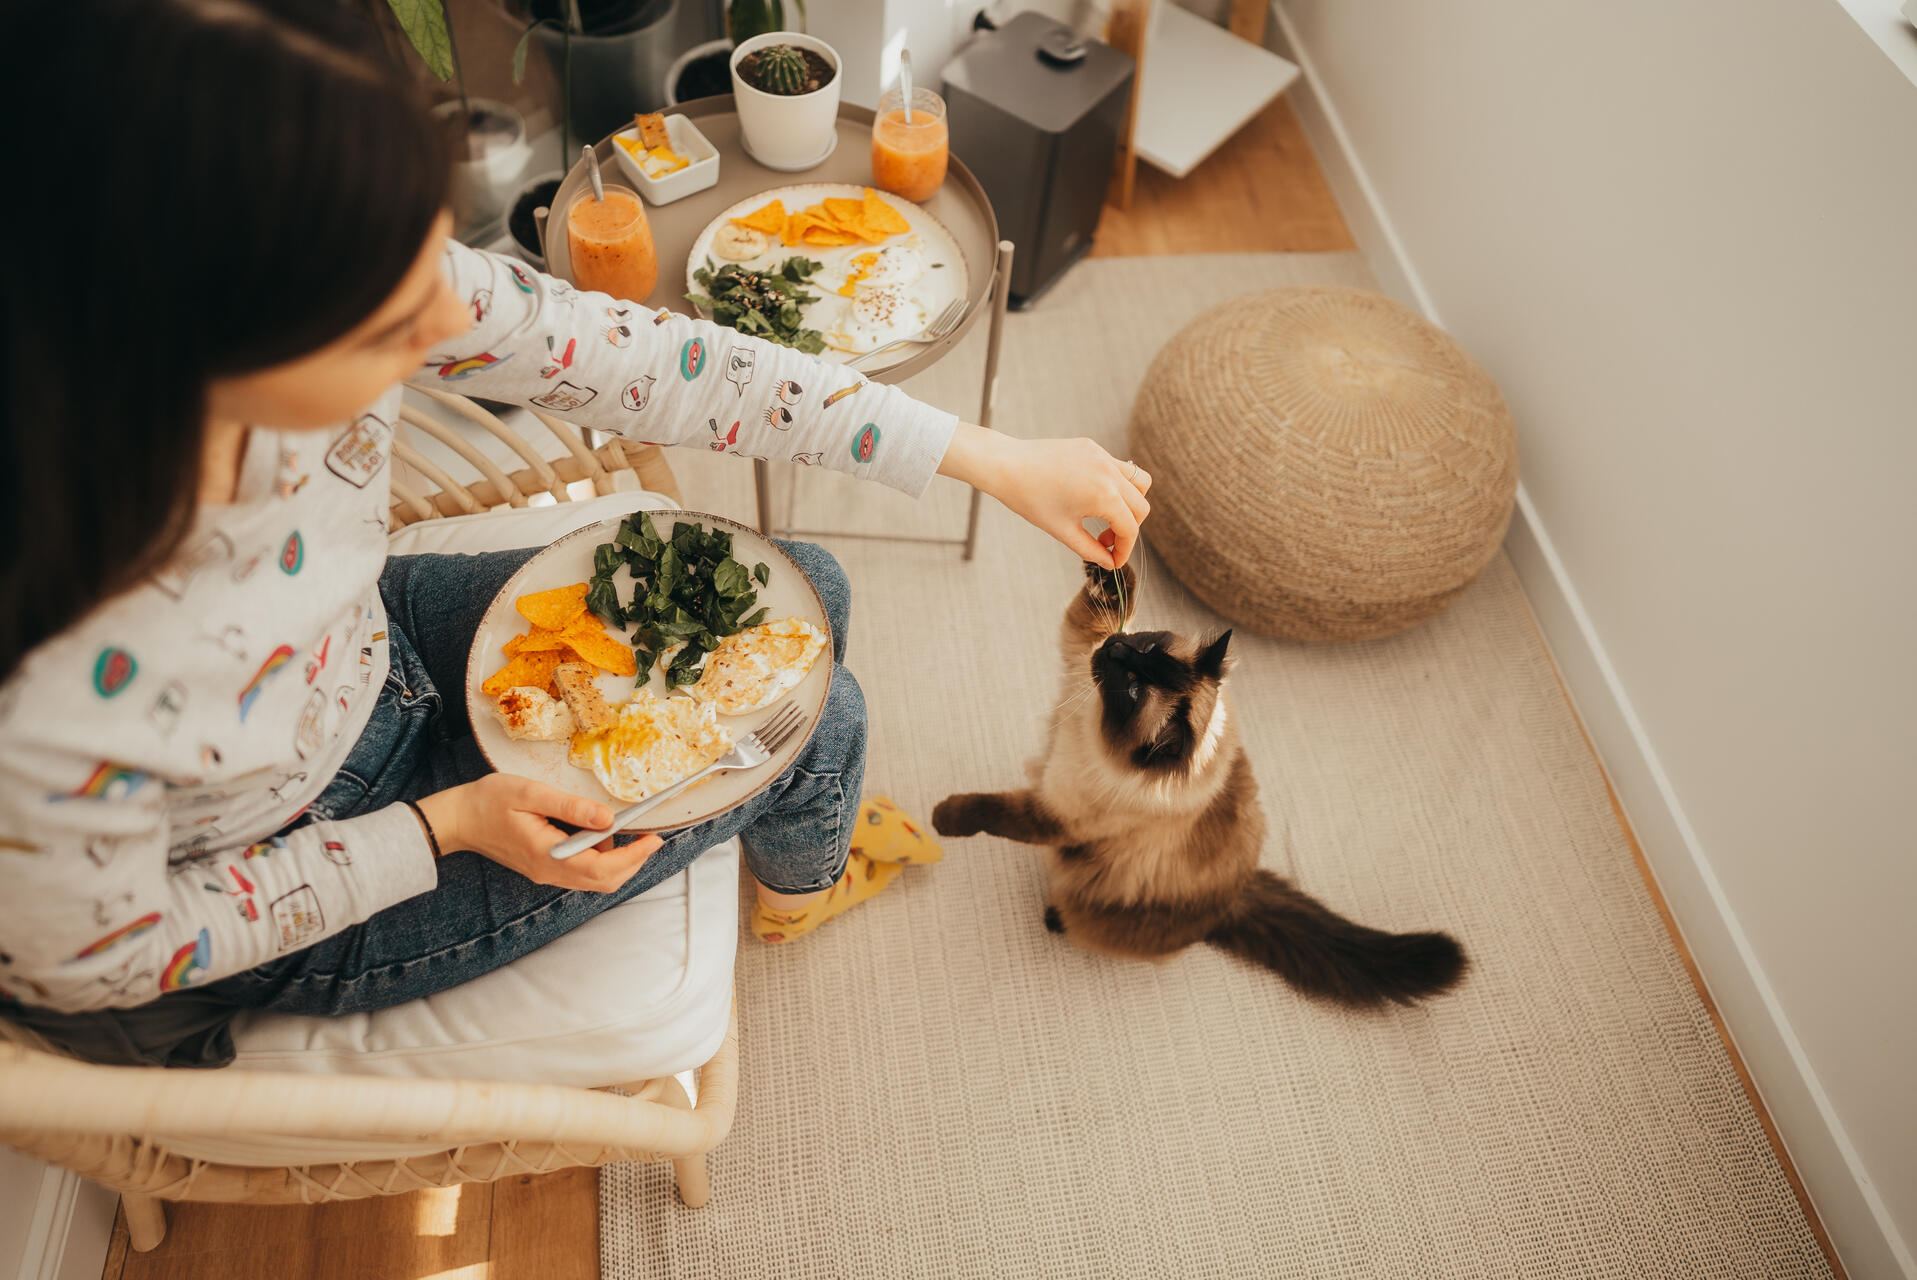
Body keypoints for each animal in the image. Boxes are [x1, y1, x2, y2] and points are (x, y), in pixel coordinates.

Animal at [931, 563, 1464, 1004]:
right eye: (1142, 650)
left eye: (1132, 690)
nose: (1115, 648)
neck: (1089, 721)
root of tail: (1236, 894)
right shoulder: (1080, 650)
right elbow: (1115, 594)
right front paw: (1108, 554)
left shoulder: (1057, 815)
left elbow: (990, 810)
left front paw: (942, 818)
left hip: (1089, 903)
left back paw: (1055, 919)